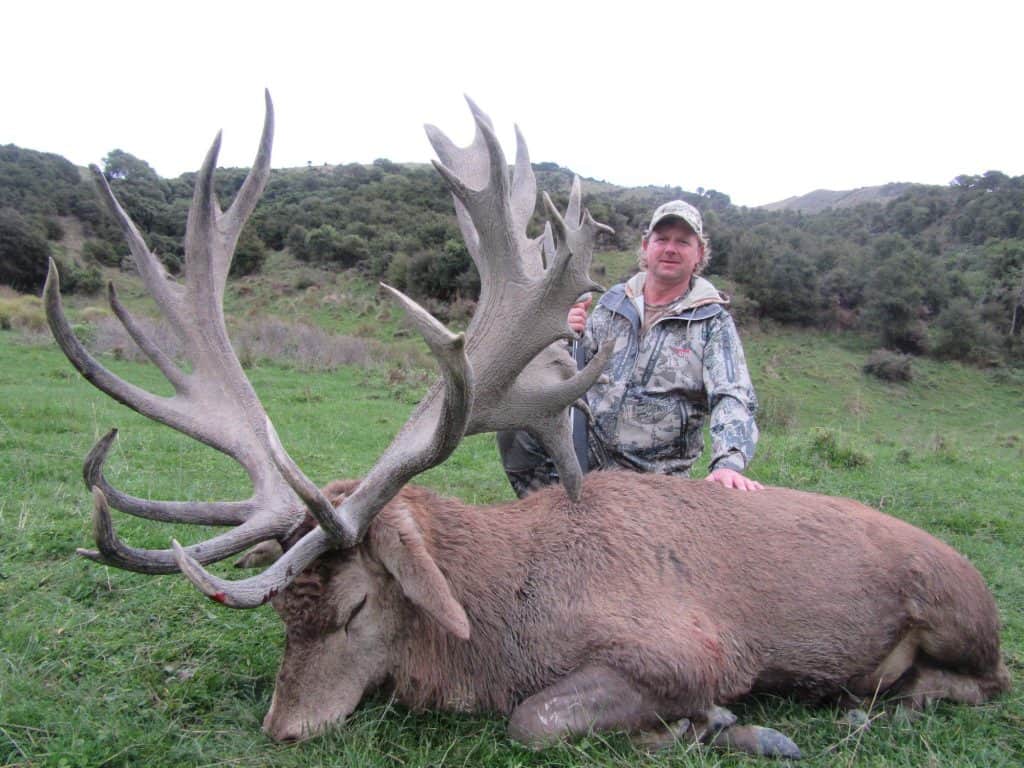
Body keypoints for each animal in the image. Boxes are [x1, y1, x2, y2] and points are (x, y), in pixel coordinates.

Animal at [45, 92, 1009, 760]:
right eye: (282, 610)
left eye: (356, 605)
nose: (284, 728)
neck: (504, 623)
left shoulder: (685, 647)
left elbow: (534, 718)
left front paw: (718, 726)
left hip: (958, 617)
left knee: (987, 684)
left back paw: (867, 702)